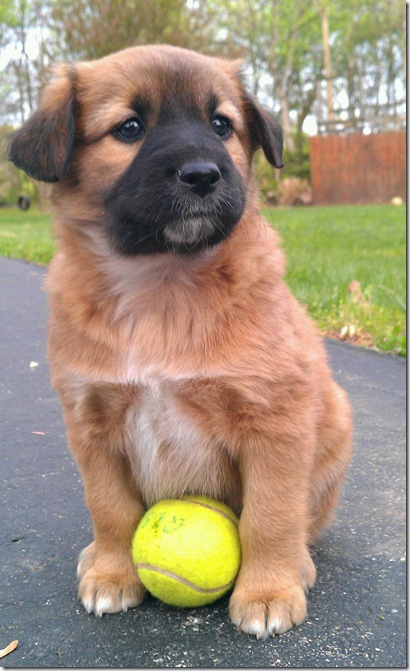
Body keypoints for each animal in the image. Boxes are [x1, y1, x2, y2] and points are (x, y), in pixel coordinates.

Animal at [8, 44, 352, 636]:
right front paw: (113, 574)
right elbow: (110, 508)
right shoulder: (91, 424)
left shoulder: (276, 419)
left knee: (303, 520)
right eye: (129, 127)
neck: (162, 285)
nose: (203, 175)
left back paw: (298, 564)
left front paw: (268, 591)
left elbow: (271, 513)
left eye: (221, 125)